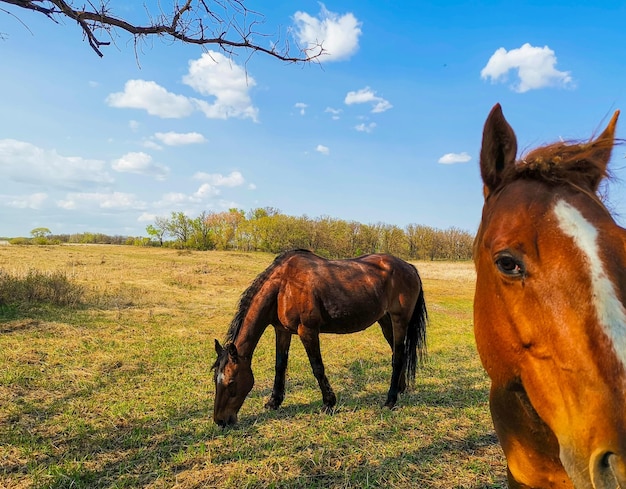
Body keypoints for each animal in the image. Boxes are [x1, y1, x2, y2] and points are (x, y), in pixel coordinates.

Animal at [212, 250, 426, 426]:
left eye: (231, 382)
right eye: (215, 379)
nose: (220, 421)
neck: (284, 286)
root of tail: (409, 267)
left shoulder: (307, 331)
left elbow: (317, 367)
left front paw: (328, 403)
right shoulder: (282, 331)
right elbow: (280, 365)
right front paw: (274, 401)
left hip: (399, 321)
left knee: (398, 358)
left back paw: (390, 400)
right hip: (385, 321)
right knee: (399, 353)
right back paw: (400, 389)